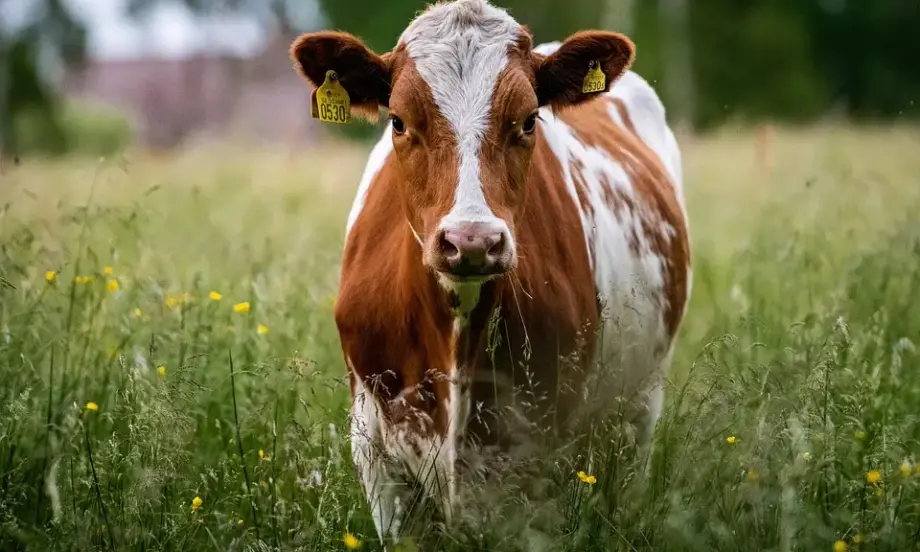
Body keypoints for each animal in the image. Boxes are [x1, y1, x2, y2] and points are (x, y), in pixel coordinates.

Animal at [288, 0, 688, 544]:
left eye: (528, 120)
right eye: (398, 121)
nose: (471, 240)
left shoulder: (540, 456)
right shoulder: (376, 454)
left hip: (639, 407)